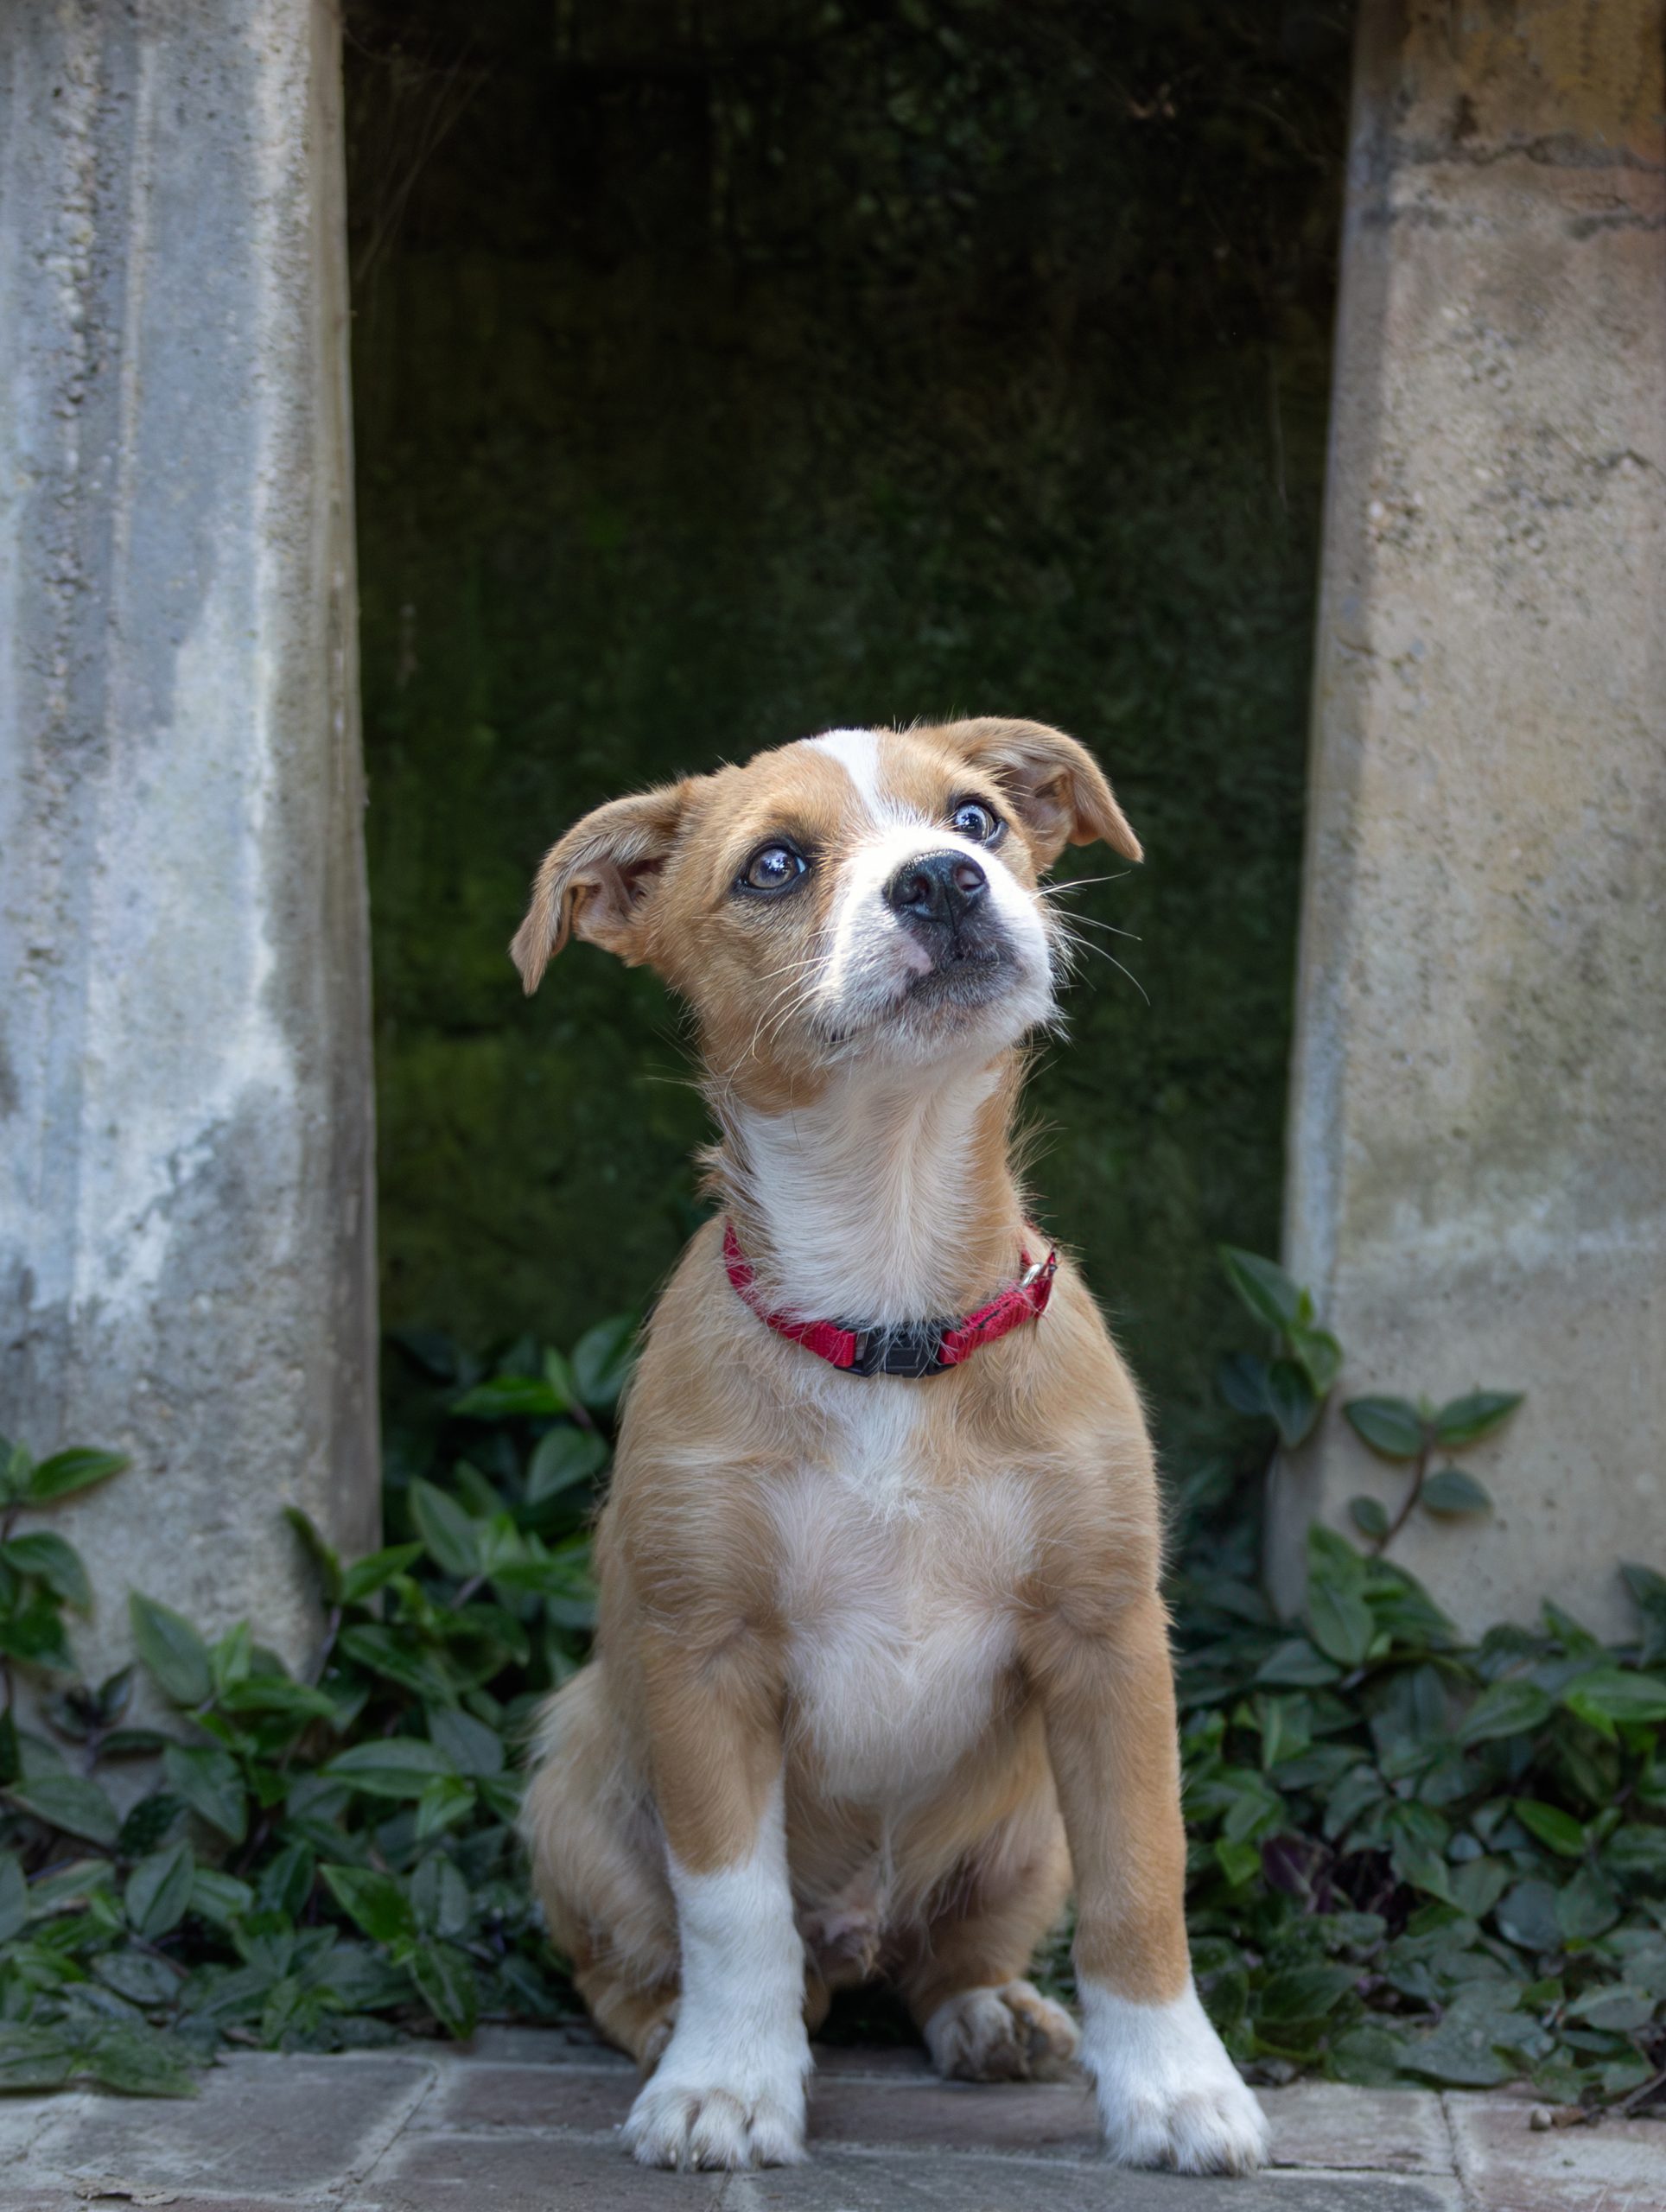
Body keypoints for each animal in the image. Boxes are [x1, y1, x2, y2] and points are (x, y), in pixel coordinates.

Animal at [512, 718, 1268, 2175]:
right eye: (776, 865)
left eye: (975, 819)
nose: (941, 882)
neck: (890, 1305)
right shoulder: (706, 1657)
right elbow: (731, 1911)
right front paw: (727, 2084)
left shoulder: (1108, 1639)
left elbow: (1142, 1882)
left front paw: (1176, 2090)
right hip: (572, 1771)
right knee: (636, 1968)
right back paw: (684, 2032)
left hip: (1026, 1823)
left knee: (948, 1956)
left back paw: (994, 2015)